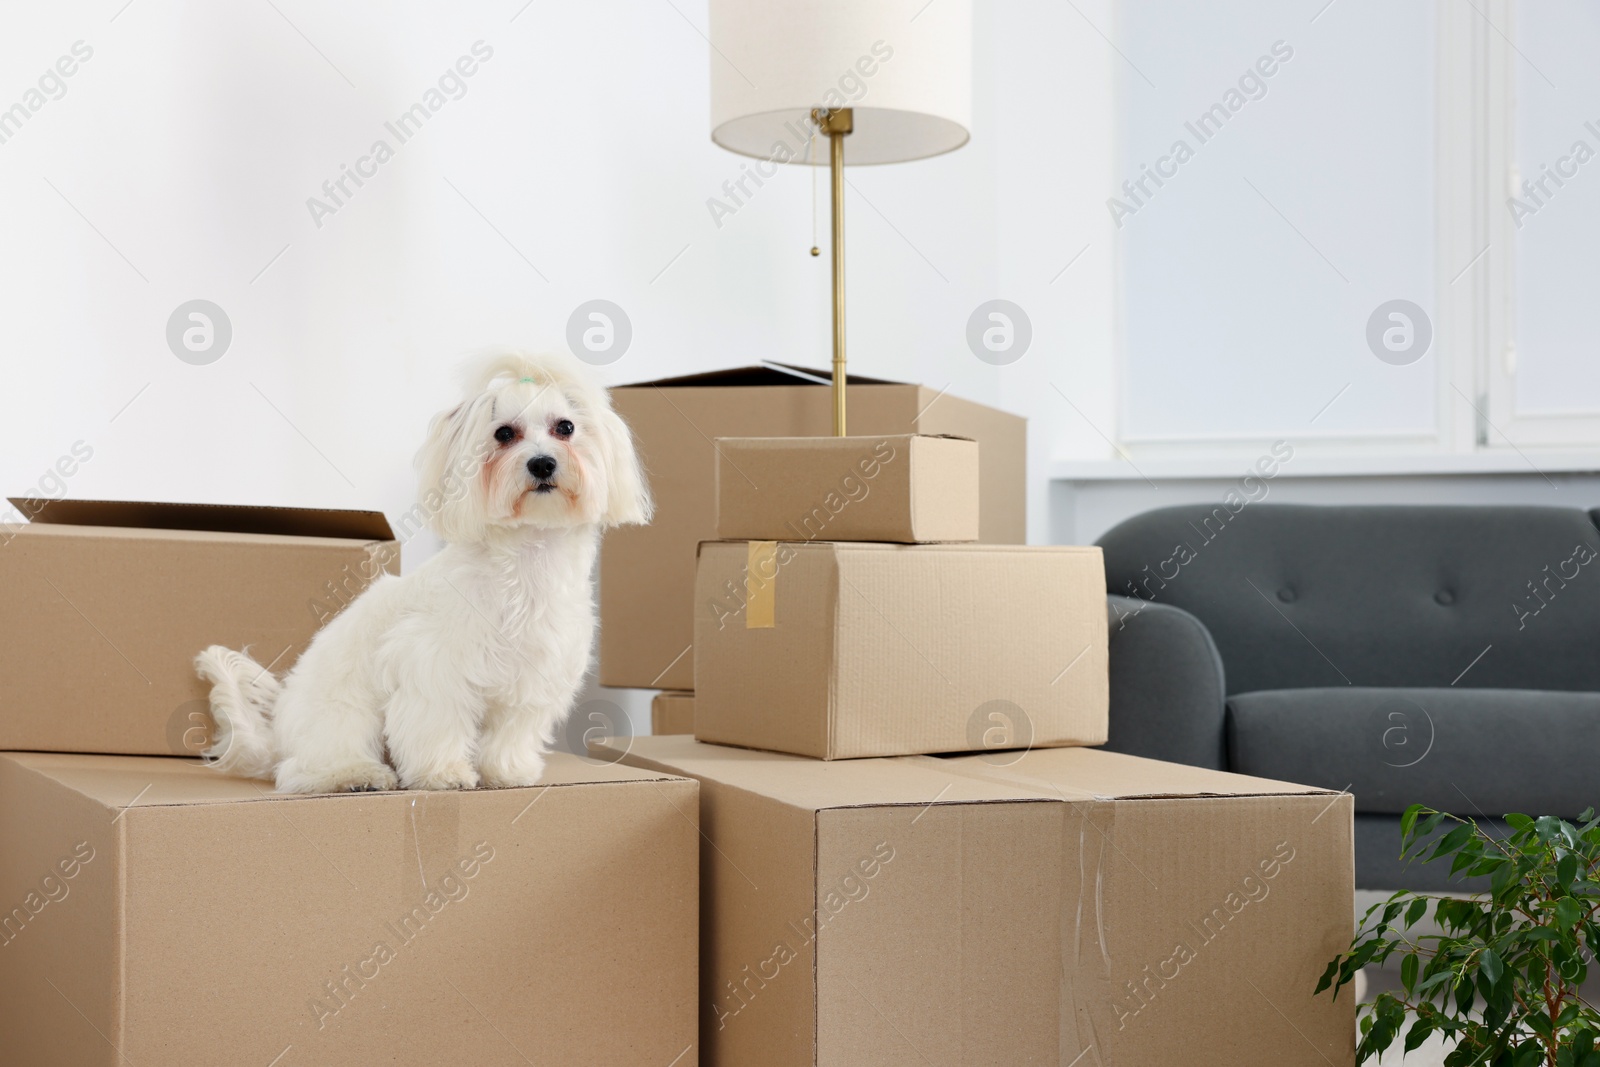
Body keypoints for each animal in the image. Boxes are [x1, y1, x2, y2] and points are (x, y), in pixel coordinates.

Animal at [195, 355, 649, 796]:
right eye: (504, 433)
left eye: (565, 427)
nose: (542, 463)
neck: (527, 563)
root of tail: (275, 739)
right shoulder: (434, 668)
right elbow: (437, 725)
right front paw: (443, 773)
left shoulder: (532, 680)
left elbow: (510, 734)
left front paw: (507, 771)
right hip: (343, 718)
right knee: (300, 771)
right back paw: (355, 774)